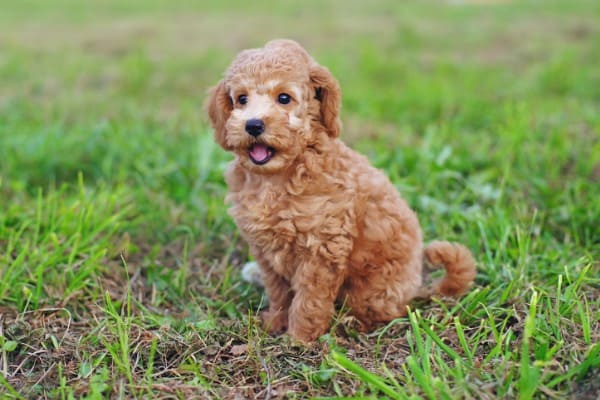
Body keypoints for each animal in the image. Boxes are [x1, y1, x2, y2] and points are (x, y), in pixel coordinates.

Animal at [209, 39, 476, 342]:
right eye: (241, 99)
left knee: (381, 313)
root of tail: (415, 290)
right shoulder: (265, 248)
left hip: (373, 288)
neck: (276, 177)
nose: (253, 124)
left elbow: (309, 300)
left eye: (284, 98)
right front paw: (275, 323)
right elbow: (279, 291)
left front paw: (298, 339)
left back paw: (351, 323)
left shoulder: (321, 248)